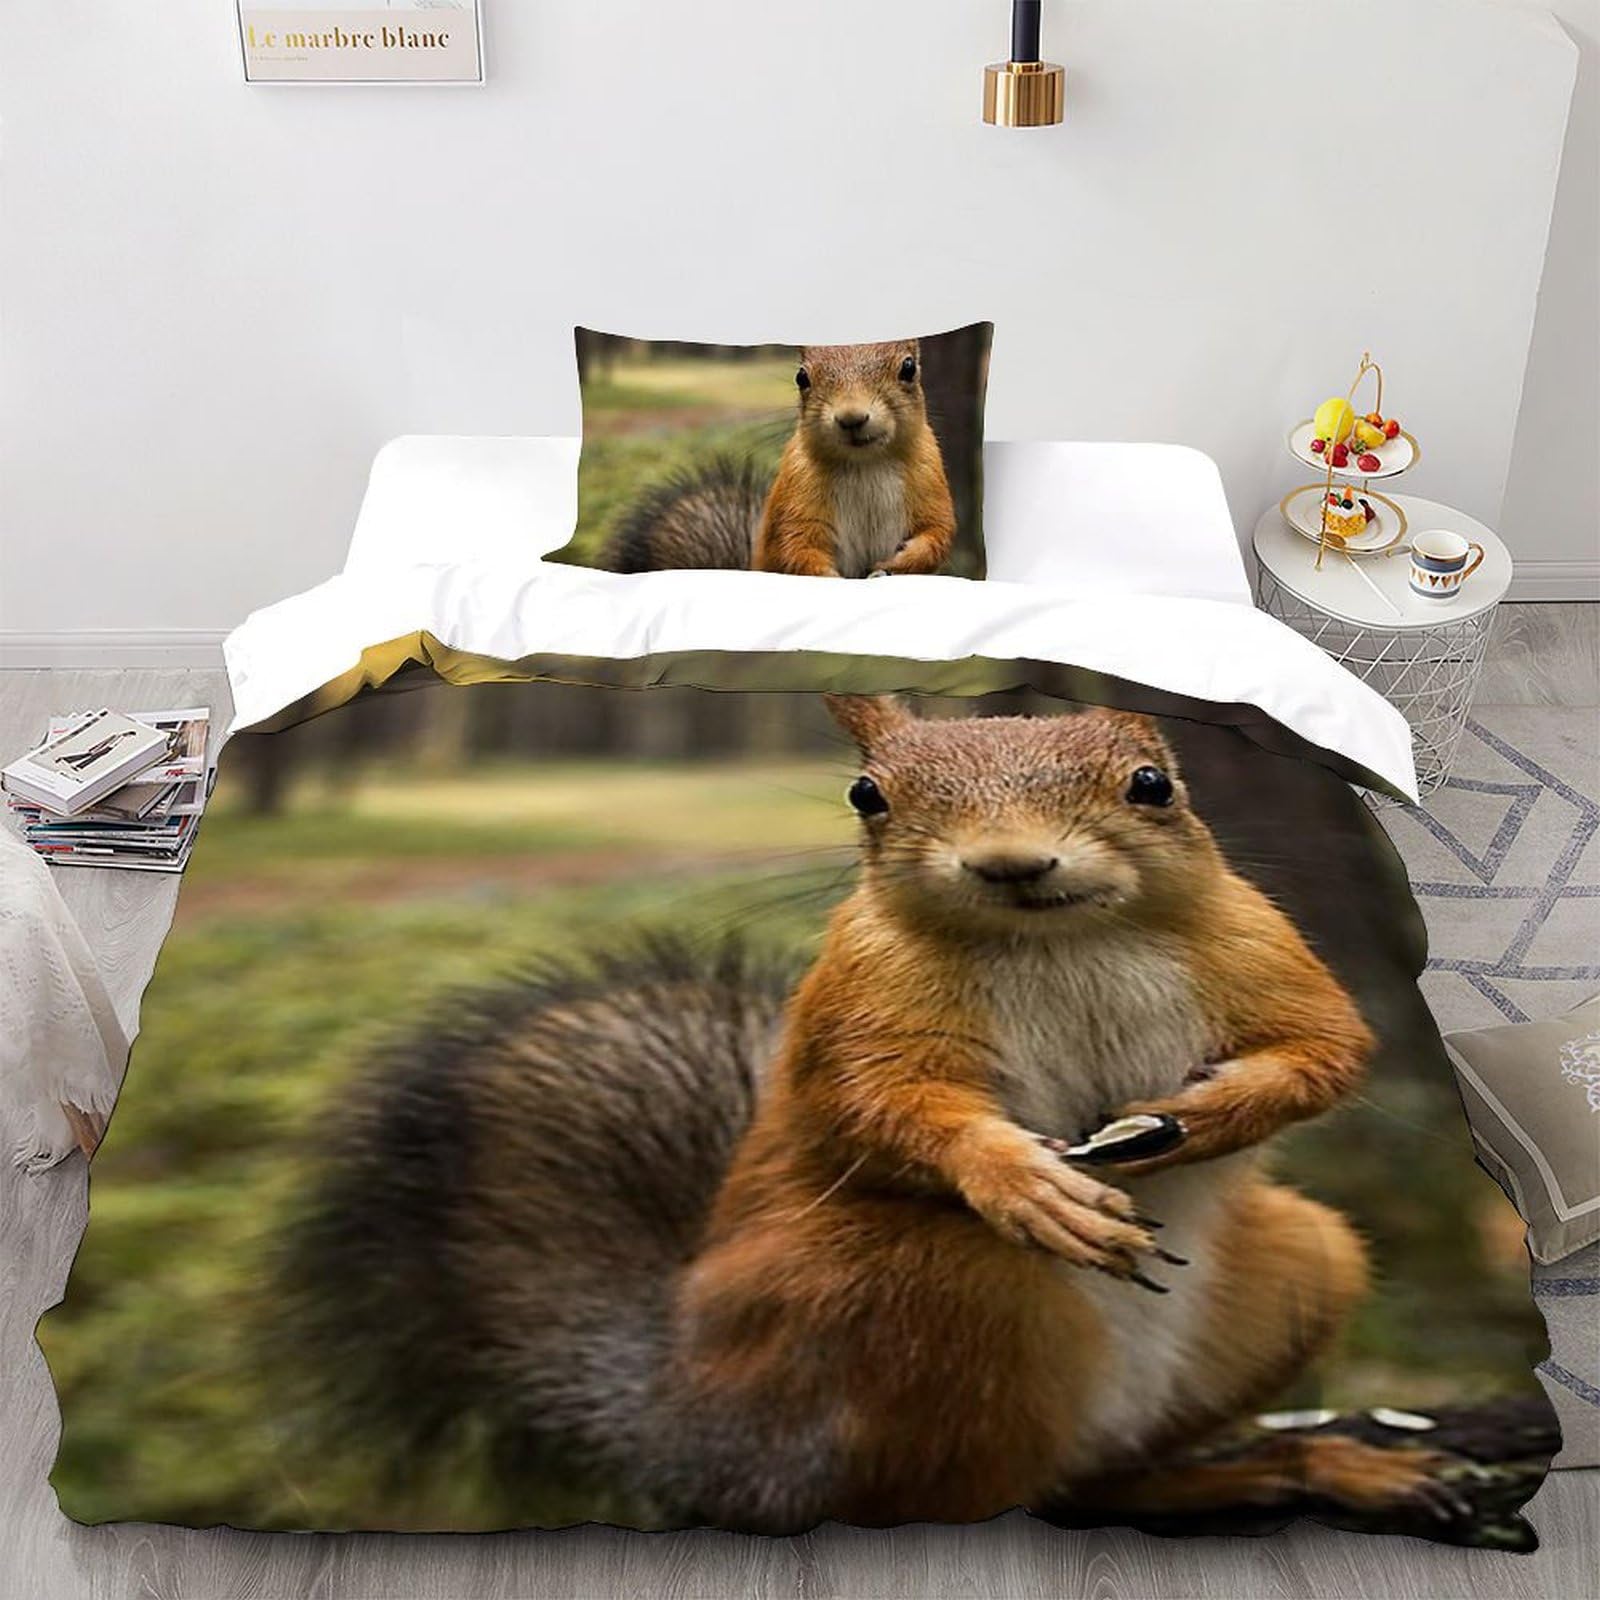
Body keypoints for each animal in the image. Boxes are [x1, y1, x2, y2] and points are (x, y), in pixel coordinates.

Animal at [280, 698, 1451, 1533]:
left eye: (1153, 782)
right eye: (866, 795)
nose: (1011, 863)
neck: (1056, 942)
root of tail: (694, 1420)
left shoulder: (1258, 950)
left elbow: (1325, 1049)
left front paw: (1196, 1120)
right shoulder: (860, 1000)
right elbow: (879, 1105)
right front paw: (1022, 1181)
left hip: (1302, 1266)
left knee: (1099, 1484)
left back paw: (1307, 1466)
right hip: (923, 1293)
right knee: (986, 1497)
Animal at [600, 342, 958, 578]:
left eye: (908, 368)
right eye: (802, 378)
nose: (852, 418)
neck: (864, 462)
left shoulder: (928, 477)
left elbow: (937, 535)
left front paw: (894, 564)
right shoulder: (797, 491)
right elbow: (794, 549)